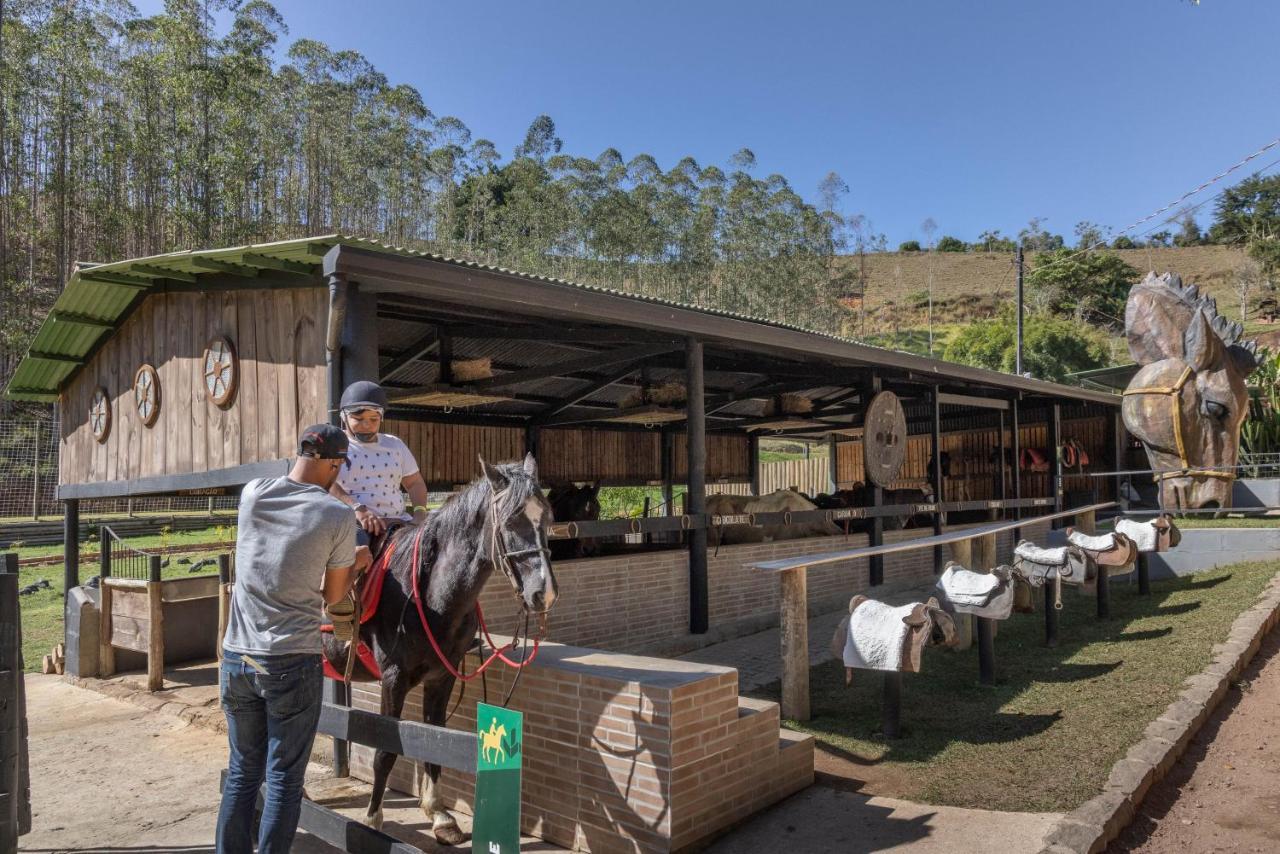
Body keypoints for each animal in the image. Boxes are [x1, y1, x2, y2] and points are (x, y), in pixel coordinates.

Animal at [320, 453, 555, 839]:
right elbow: (385, 751)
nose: (544, 593)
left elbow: (435, 740)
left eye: (548, 519)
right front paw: (373, 818)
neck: (427, 596)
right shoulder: (393, 678)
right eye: (510, 521)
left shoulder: (441, 677)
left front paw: (440, 815)